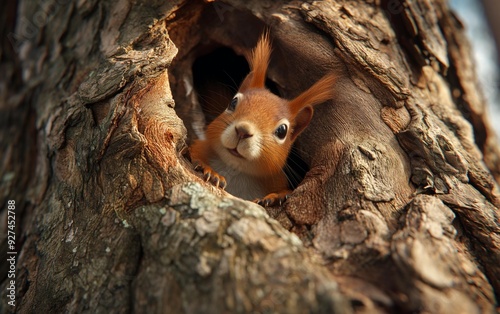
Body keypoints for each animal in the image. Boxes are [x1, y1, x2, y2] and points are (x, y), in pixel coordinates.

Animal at [190, 33, 336, 206]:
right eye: (233, 102)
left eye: (282, 131)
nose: (243, 131)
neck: (235, 169)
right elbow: (192, 152)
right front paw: (211, 172)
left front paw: (276, 197)